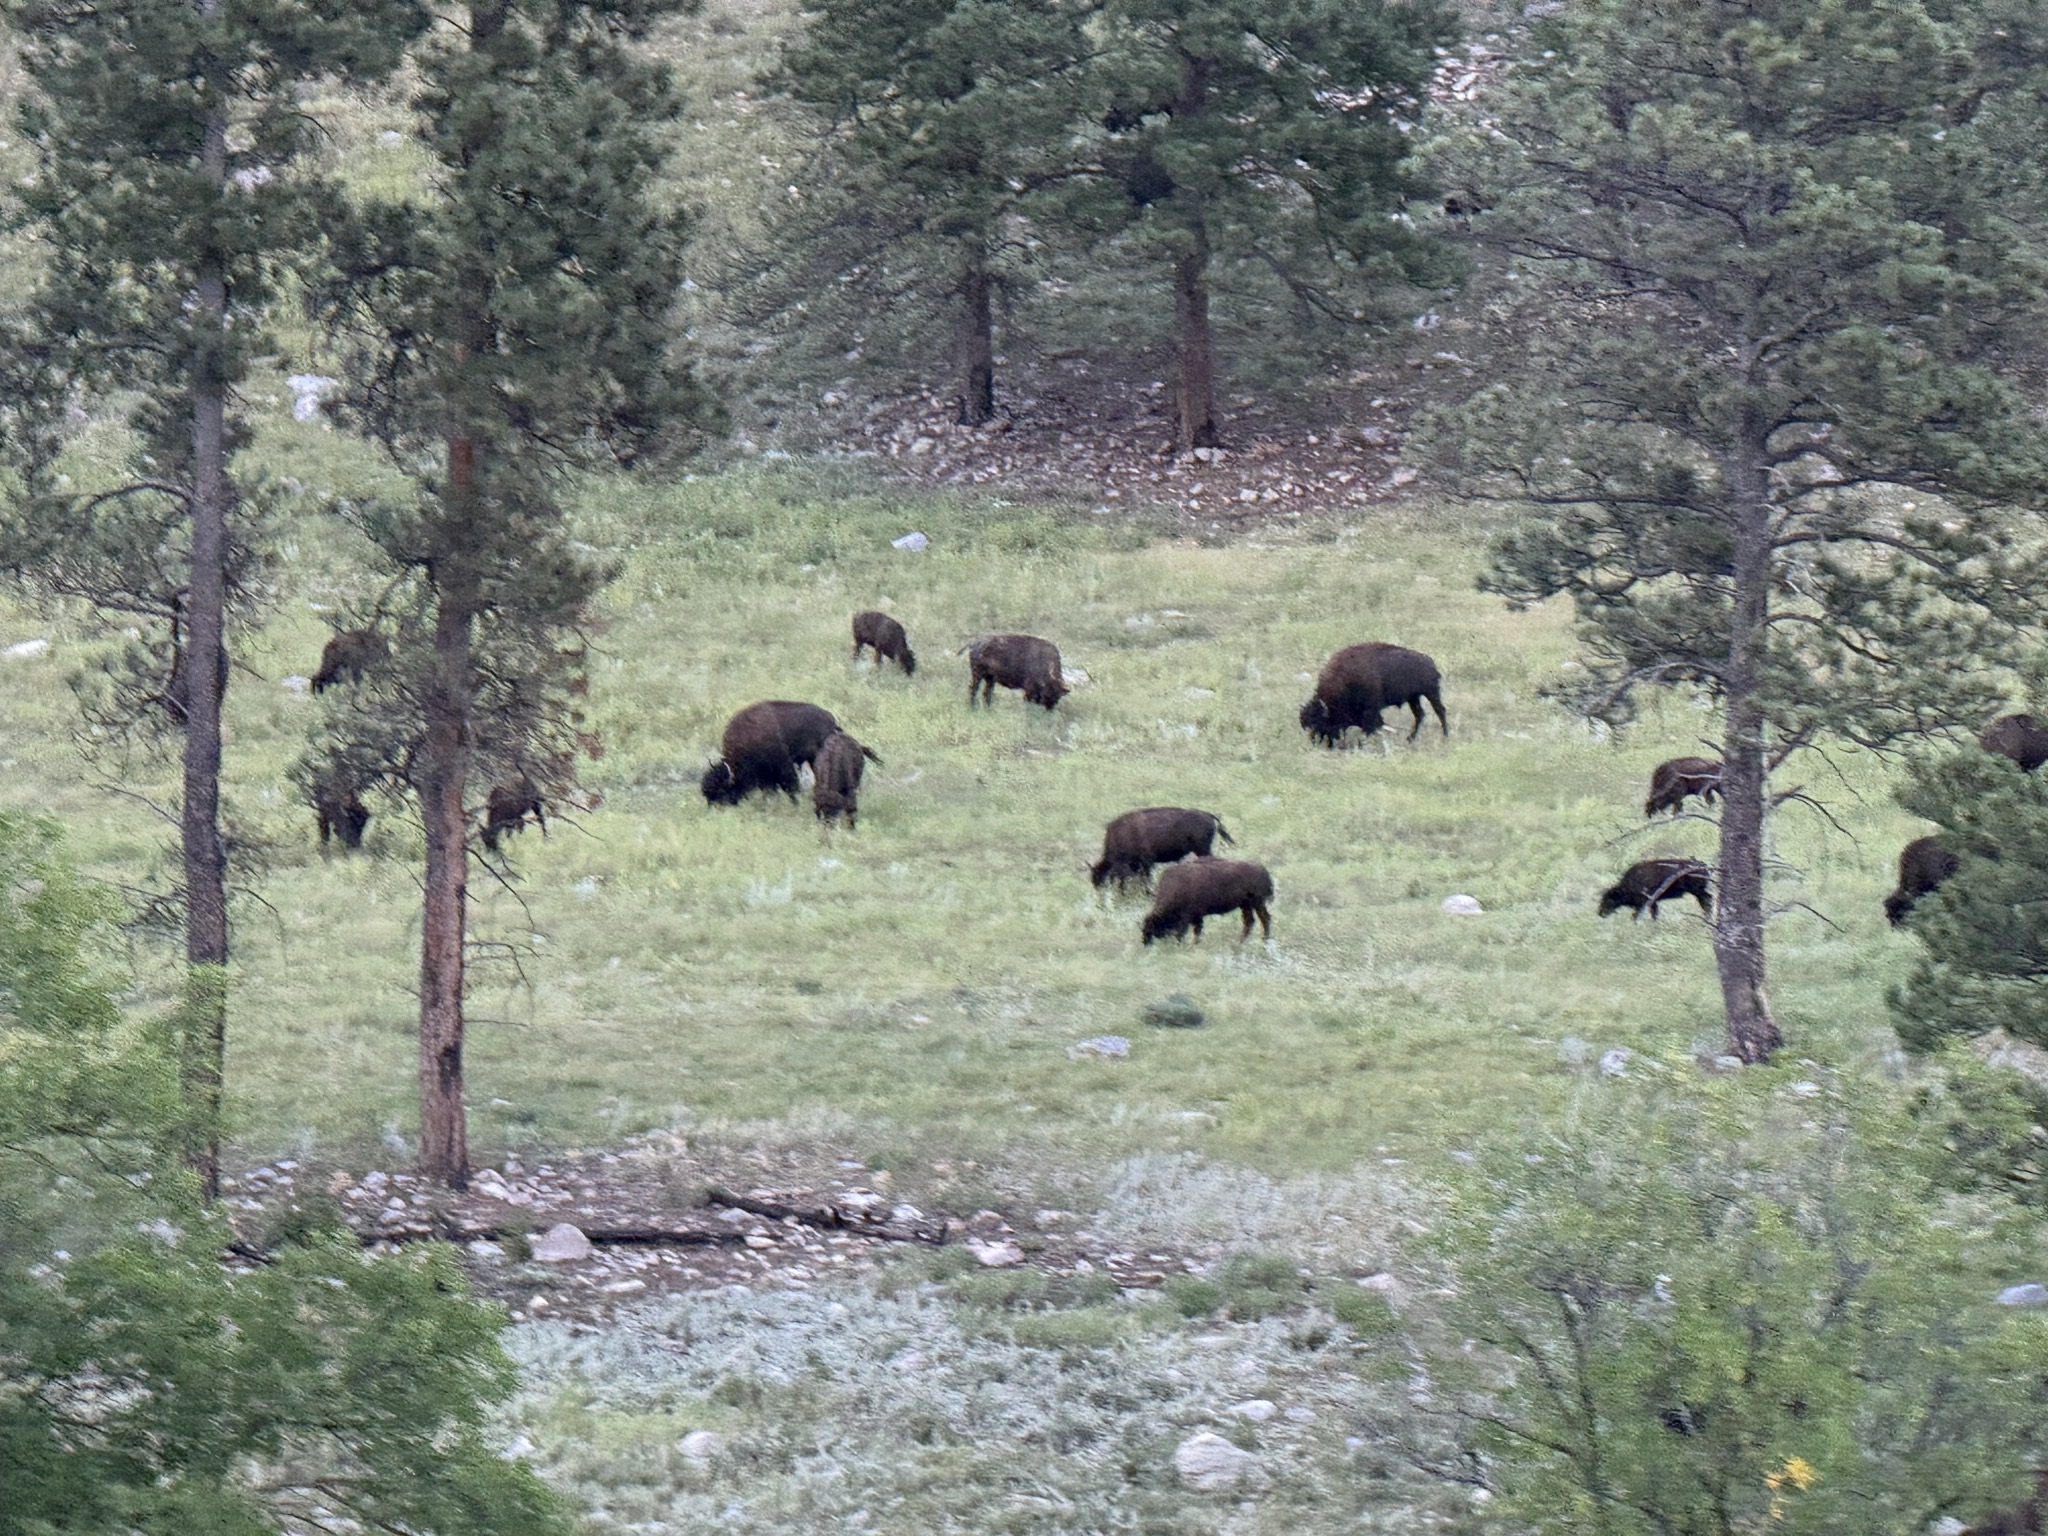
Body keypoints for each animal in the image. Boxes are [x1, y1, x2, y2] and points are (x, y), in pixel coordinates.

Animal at [701, 700, 841, 807]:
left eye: (721, 791)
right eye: (707, 795)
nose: (717, 809)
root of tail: (830, 719)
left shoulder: (782, 766)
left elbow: (791, 787)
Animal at [1091, 807, 1235, 890]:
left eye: (1100, 876)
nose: (1098, 890)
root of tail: (1208, 815)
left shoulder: (1146, 862)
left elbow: (1145, 878)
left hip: (1202, 849)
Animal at [1140, 857, 1274, 945]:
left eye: (1152, 929)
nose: (1145, 943)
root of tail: (1262, 869)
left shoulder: (1187, 918)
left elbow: (1185, 932)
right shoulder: (1196, 917)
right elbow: (1196, 931)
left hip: (1257, 903)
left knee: (1264, 918)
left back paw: (1264, 940)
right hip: (1245, 905)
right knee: (1249, 922)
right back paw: (1241, 942)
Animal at [1299, 642, 1447, 747]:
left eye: (1321, 723)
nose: (1316, 742)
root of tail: (1430, 662)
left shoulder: (1371, 711)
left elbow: (1371, 726)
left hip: (1431, 693)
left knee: (1440, 711)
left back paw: (1445, 736)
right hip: (1414, 698)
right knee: (1419, 715)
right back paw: (1410, 739)